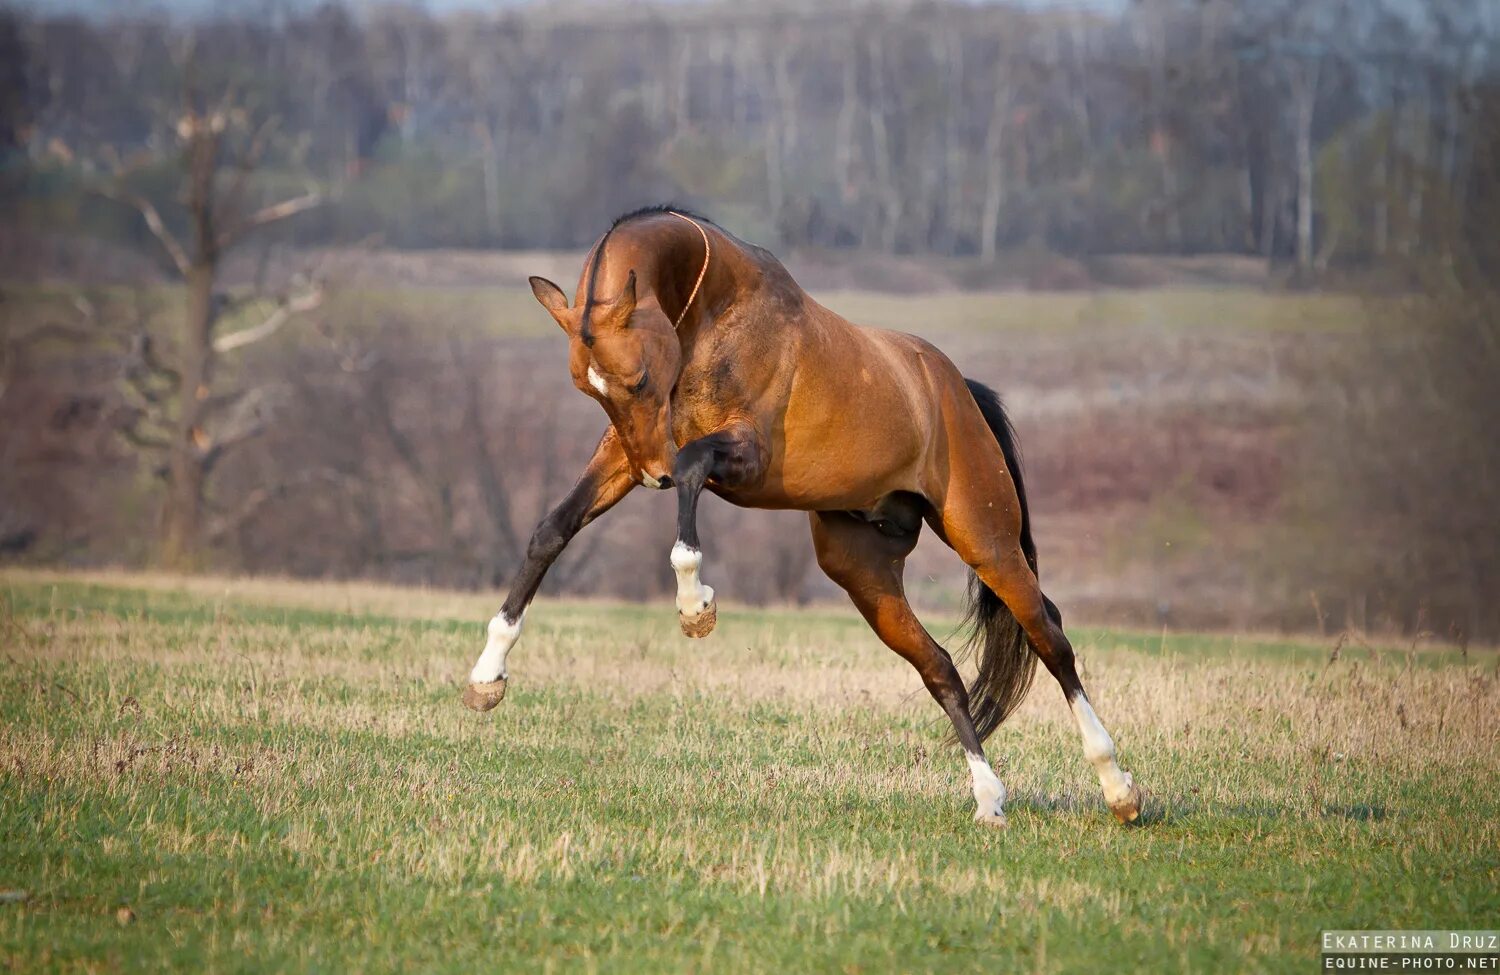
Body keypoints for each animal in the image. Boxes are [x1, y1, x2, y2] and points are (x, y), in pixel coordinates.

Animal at [462, 202, 1140, 822]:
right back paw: (988, 799)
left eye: (639, 379)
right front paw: (488, 674)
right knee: (942, 669)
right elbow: (553, 530)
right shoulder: (623, 456)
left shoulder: (741, 455)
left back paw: (1119, 789)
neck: (711, 310)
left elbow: (690, 473)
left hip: (985, 540)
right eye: (588, 389)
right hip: (865, 574)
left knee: (1051, 639)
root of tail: (956, 391)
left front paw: (695, 606)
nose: (653, 476)